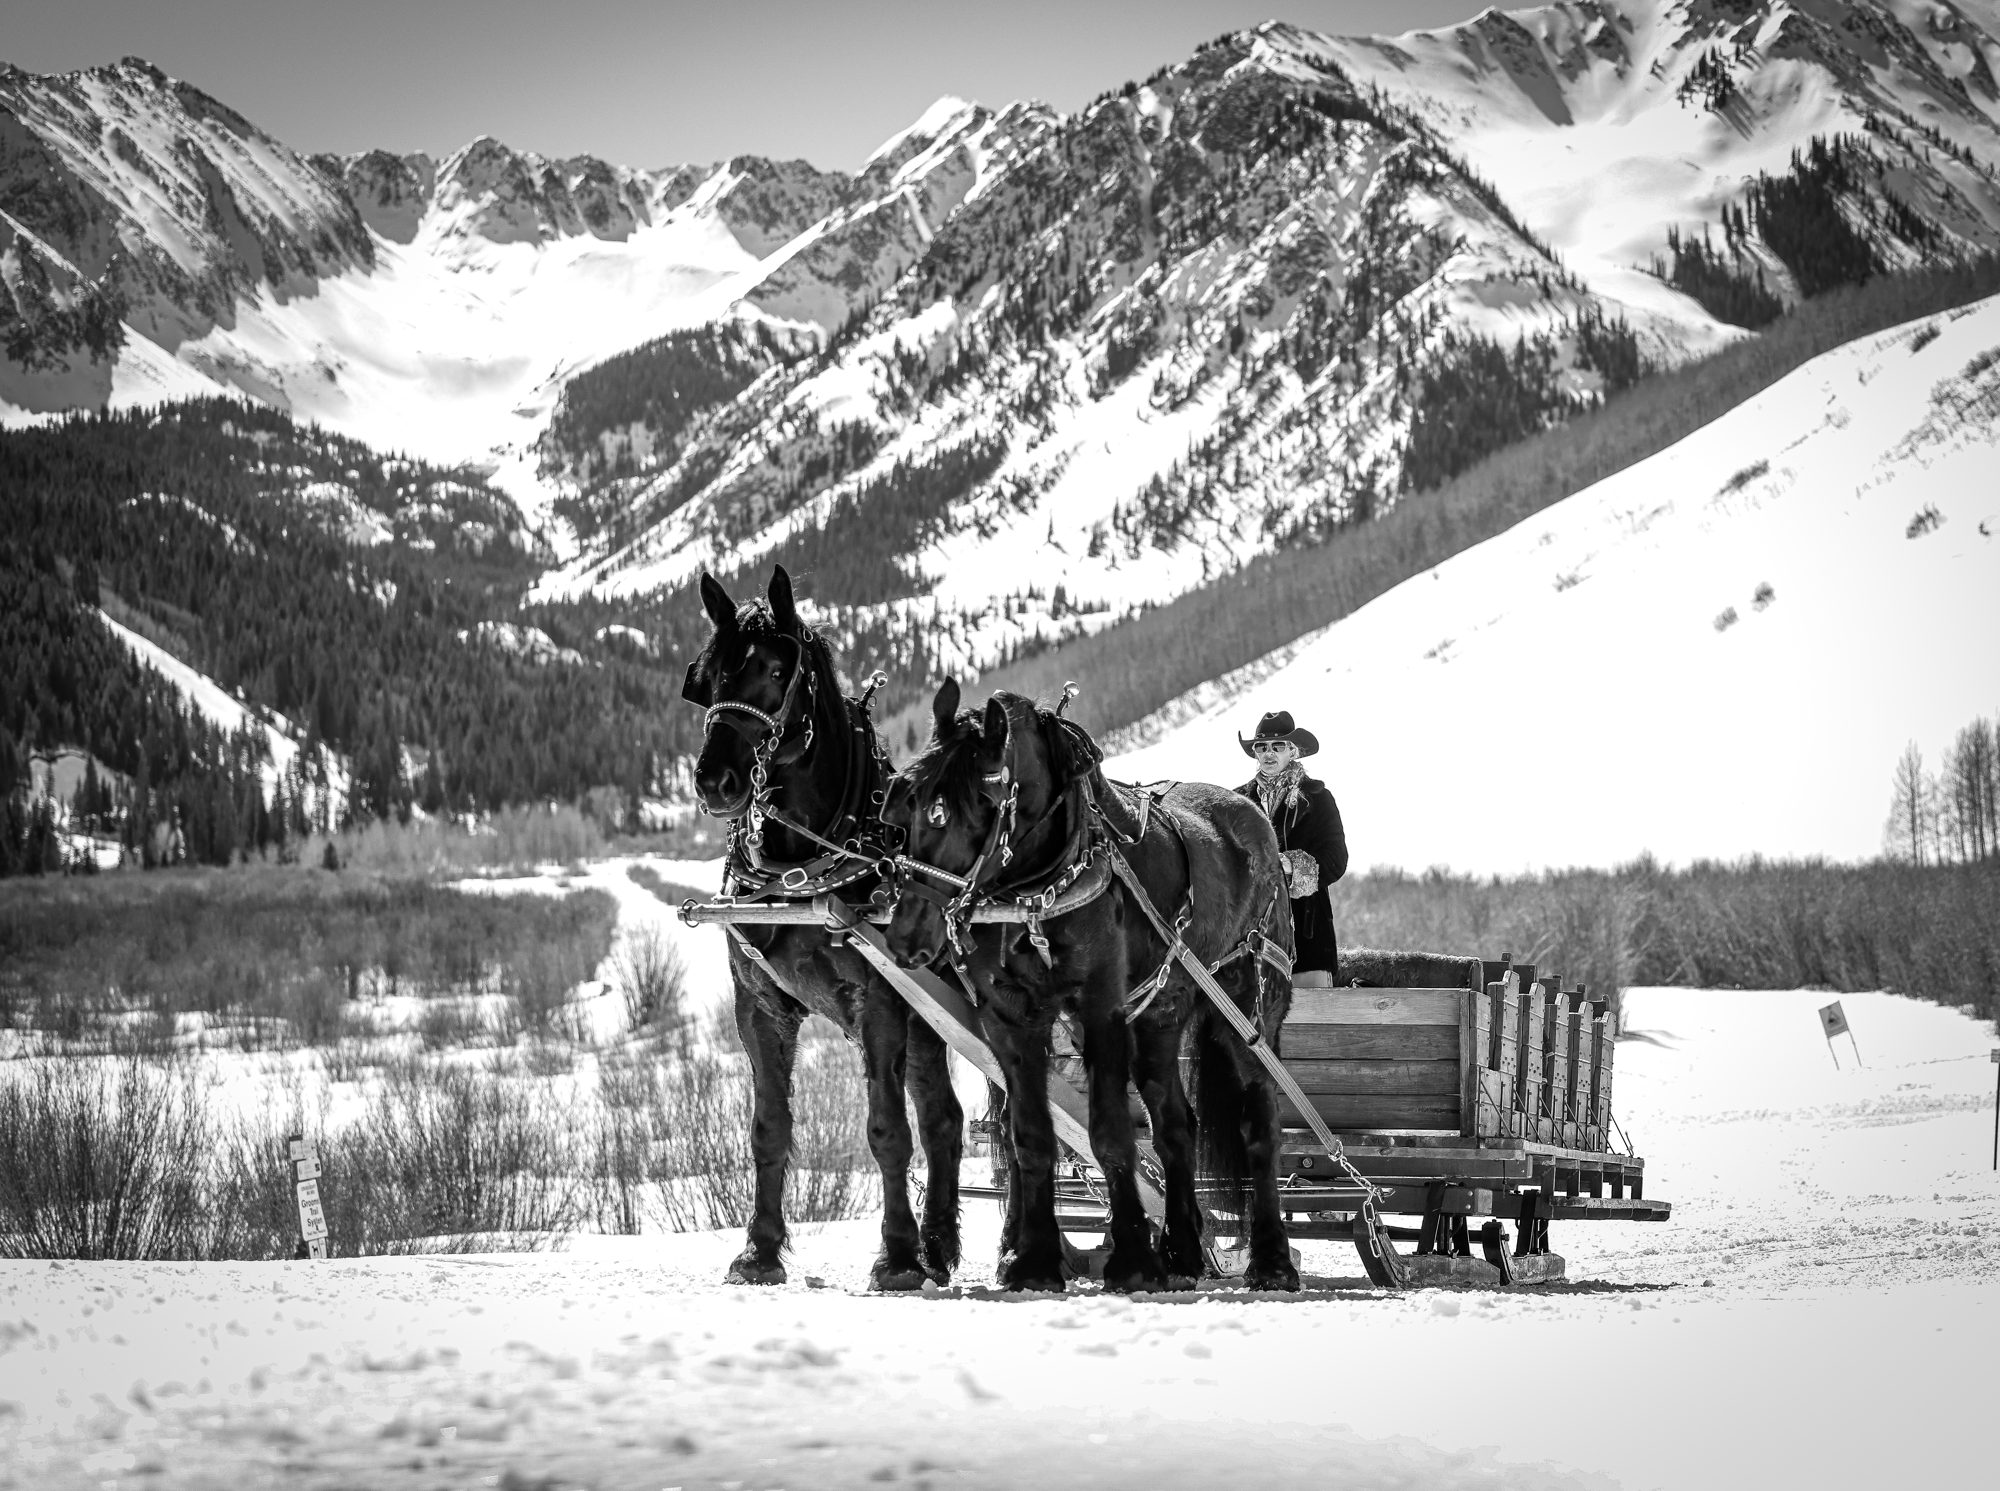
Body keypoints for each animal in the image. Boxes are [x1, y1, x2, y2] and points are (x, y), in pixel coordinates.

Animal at [684, 566, 963, 1290]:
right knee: (945, 1118)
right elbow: (768, 1127)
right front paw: (758, 1251)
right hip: (933, 1021)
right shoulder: (760, 1005)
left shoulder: (883, 1001)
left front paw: (896, 1256)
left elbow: (886, 1129)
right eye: (710, 674)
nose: (716, 780)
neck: (802, 867)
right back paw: (941, 1245)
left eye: (778, 670)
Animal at [882, 682, 1300, 1293]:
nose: (908, 935)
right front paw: (1033, 1261)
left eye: (978, 802)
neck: (1036, 891)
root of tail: (1253, 819)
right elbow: (1030, 1134)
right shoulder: (1010, 1018)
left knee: (1260, 1123)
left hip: (1248, 1008)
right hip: (1159, 1016)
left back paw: (1271, 1261)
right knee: (1175, 1124)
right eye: (908, 800)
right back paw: (1182, 1252)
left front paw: (1132, 1259)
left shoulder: (1100, 1011)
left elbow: (1108, 1131)